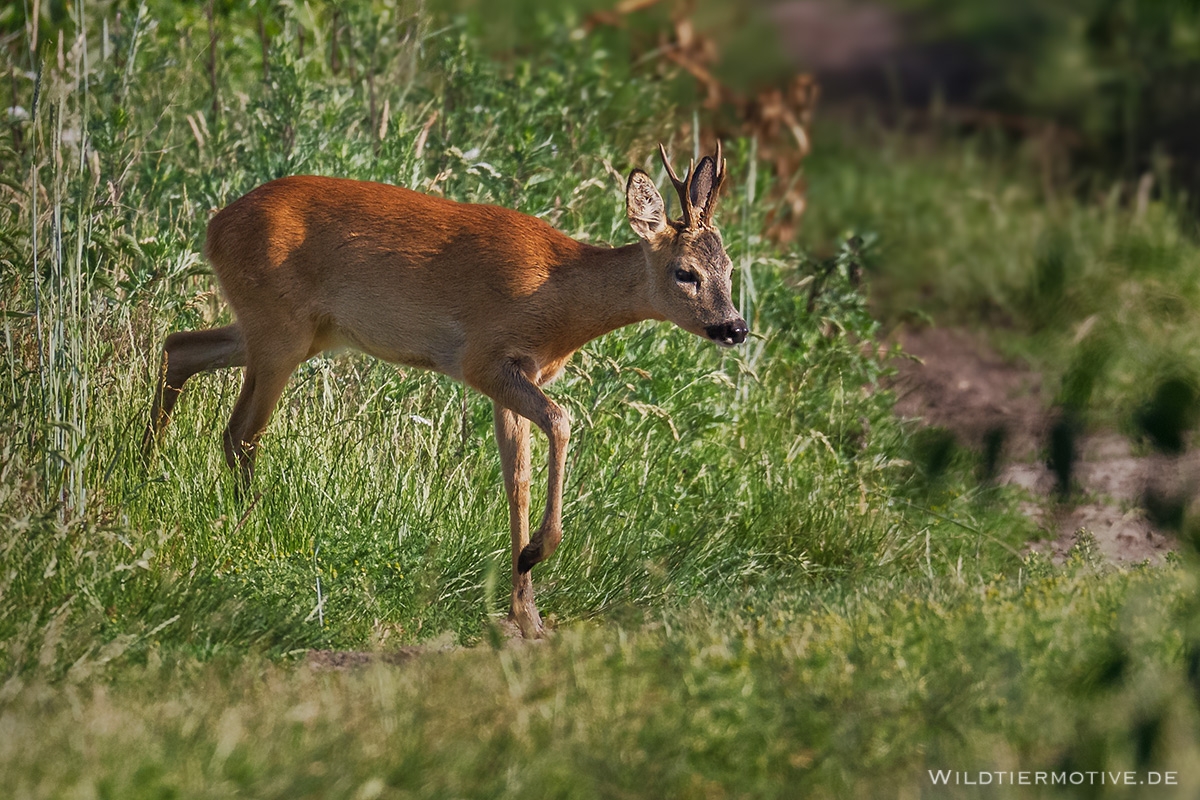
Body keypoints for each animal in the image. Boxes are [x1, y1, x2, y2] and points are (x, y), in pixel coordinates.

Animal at [143, 143, 748, 638]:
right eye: (685, 272)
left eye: (730, 268)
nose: (735, 327)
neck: (561, 297)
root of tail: (214, 225)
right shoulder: (483, 357)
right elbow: (561, 421)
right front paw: (535, 556)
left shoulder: (516, 373)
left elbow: (516, 481)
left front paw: (526, 614)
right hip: (280, 329)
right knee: (240, 430)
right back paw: (251, 527)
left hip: (290, 330)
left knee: (180, 347)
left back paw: (144, 470)